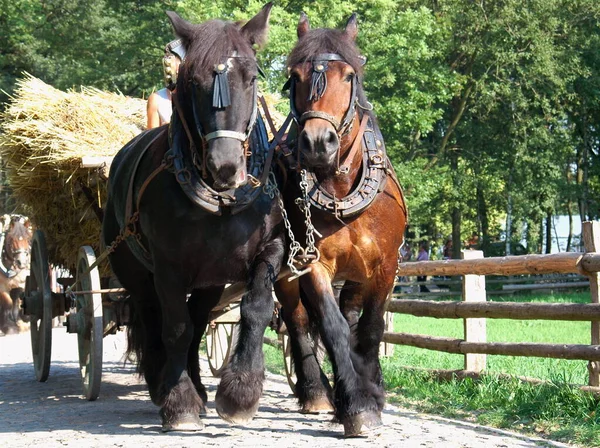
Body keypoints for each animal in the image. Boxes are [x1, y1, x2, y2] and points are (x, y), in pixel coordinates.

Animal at [102, 2, 284, 430]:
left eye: (252, 77)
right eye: (195, 81)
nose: (226, 165)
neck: (220, 201)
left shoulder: (269, 247)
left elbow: (254, 308)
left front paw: (240, 393)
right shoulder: (168, 267)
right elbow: (176, 328)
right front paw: (179, 402)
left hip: (210, 280)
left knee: (200, 320)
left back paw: (199, 387)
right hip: (136, 271)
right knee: (153, 318)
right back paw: (163, 386)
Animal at [276, 12, 408, 436]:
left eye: (349, 75)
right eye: (295, 76)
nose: (318, 143)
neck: (339, 190)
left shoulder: (385, 266)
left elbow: (370, 328)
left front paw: (373, 393)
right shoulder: (312, 264)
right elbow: (331, 327)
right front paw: (356, 406)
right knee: (298, 322)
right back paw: (318, 392)